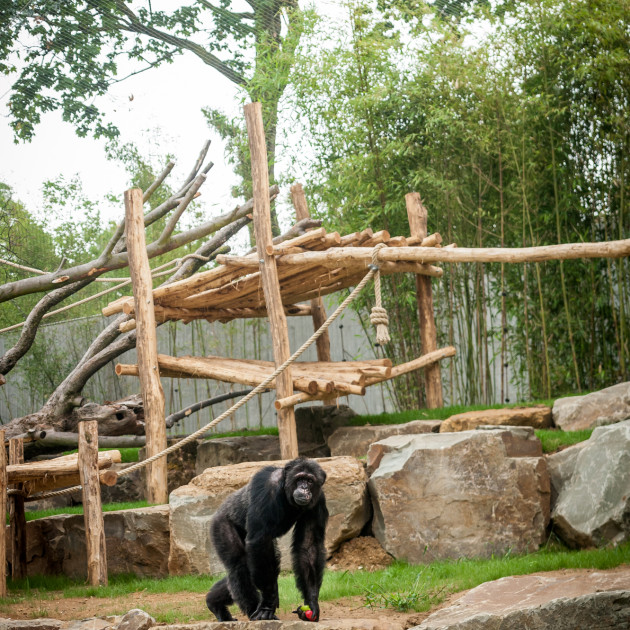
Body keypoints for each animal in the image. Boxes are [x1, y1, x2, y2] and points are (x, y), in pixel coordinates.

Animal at [206, 456, 328, 624]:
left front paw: (311, 602)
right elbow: (260, 538)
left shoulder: (318, 501)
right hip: (221, 524)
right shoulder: (266, 486)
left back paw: (215, 603)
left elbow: (308, 547)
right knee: (240, 564)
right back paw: (253, 610)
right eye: (299, 479)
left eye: (310, 480)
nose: (304, 487)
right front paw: (268, 605)